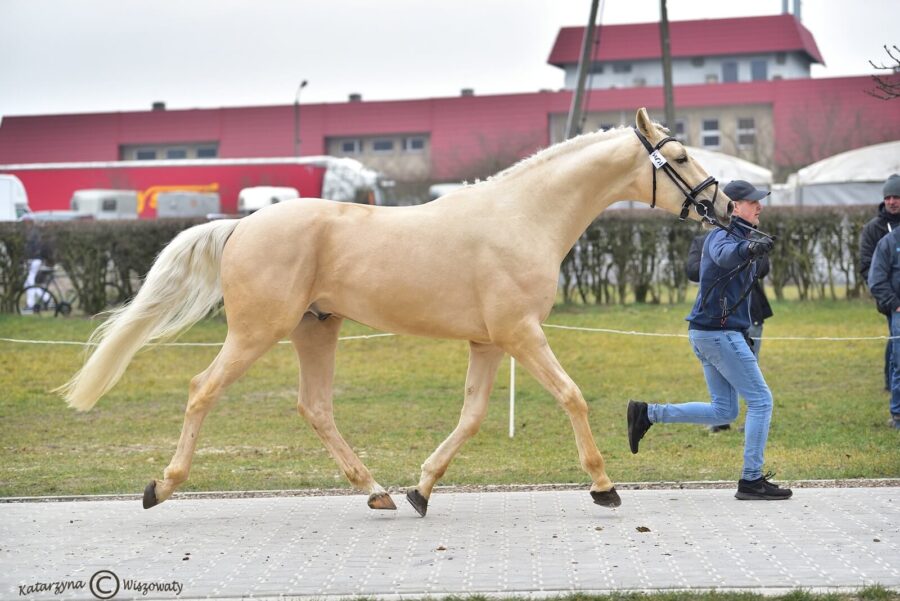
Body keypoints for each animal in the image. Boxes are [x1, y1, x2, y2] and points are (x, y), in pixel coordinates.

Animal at [59, 108, 732, 516]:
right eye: (681, 157)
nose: (723, 206)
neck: (523, 216)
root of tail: (242, 226)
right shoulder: (521, 334)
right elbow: (571, 396)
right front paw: (604, 487)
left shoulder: (490, 343)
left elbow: (471, 417)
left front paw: (420, 488)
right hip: (257, 333)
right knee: (203, 389)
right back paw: (161, 486)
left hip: (315, 332)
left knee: (316, 407)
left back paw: (377, 491)